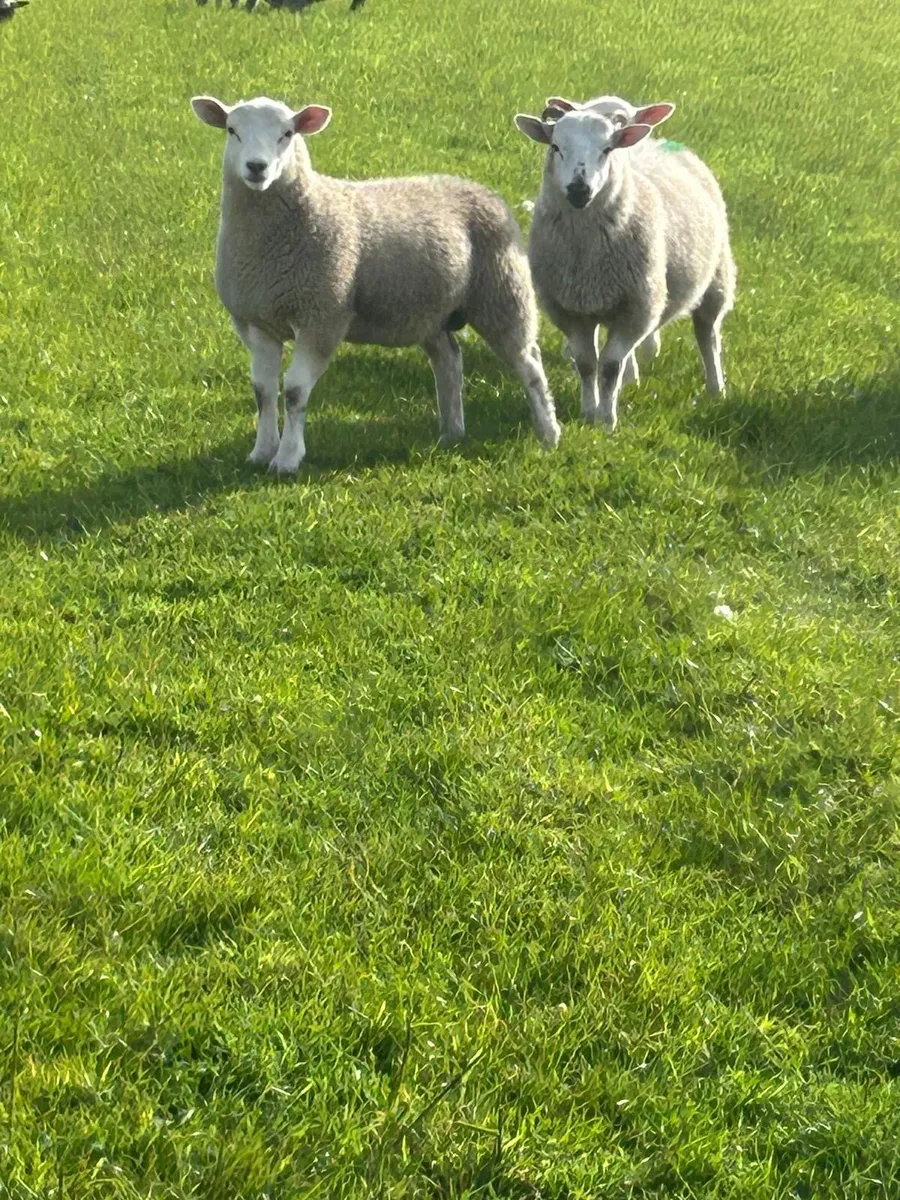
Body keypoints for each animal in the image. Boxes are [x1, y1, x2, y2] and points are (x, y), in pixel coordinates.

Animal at [191, 95, 560, 474]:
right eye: (232, 130)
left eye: (287, 133)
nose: (256, 167)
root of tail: (481, 190)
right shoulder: (256, 321)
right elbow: (263, 391)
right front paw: (262, 451)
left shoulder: (321, 318)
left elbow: (293, 392)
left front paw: (288, 459)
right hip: (432, 311)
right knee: (449, 362)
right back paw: (451, 432)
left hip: (503, 294)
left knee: (529, 365)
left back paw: (548, 433)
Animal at [514, 104, 735, 432]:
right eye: (555, 147)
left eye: (607, 150)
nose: (579, 189)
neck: (587, 257)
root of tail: (654, 142)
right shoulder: (570, 310)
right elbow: (586, 363)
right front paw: (588, 413)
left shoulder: (636, 309)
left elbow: (609, 366)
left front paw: (606, 421)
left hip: (715, 279)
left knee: (708, 336)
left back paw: (715, 389)